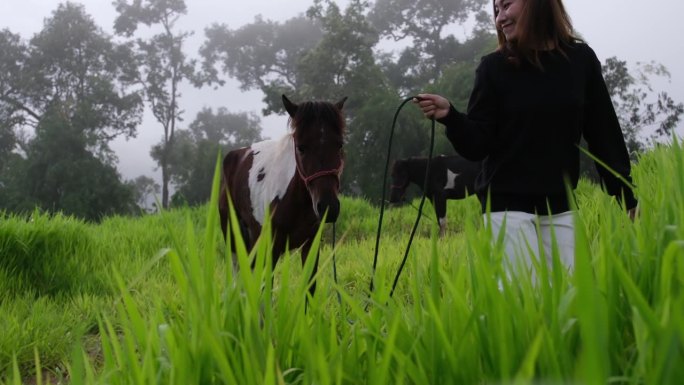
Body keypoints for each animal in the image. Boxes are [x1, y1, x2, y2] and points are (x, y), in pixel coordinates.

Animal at [219, 94, 348, 296]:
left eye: (339, 144)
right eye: (301, 147)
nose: (328, 207)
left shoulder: (311, 246)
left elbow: (309, 289)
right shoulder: (272, 247)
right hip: (233, 236)